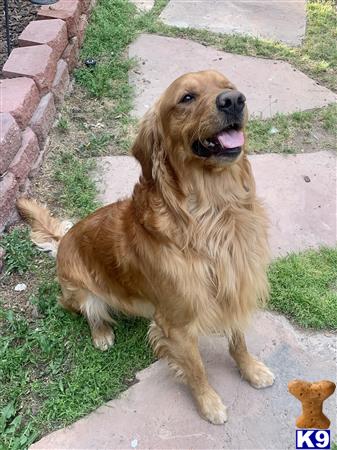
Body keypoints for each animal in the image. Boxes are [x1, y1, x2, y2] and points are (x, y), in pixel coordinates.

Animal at [17, 68, 272, 424]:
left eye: (228, 87)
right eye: (187, 97)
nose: (234, 100)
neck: (214, 211)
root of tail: (63, 240)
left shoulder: (235, 284)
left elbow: (238, 341)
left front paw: (251, 369)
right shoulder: (177, 325)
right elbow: (196, 369)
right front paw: (209, 403)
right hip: (81, 291)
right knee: (86, 310)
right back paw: (102, 334)